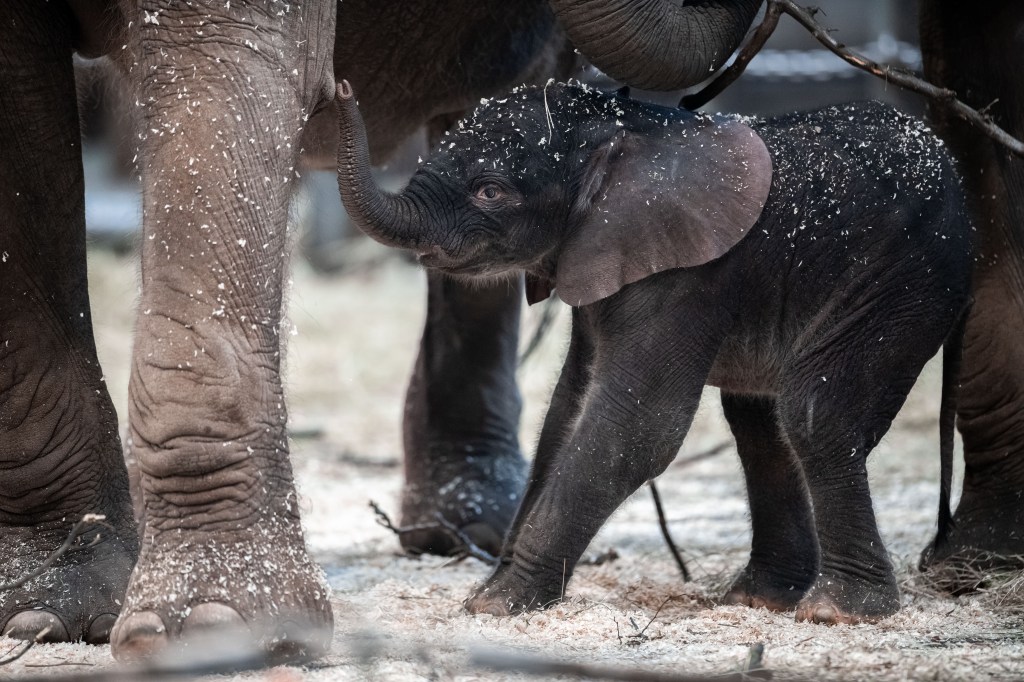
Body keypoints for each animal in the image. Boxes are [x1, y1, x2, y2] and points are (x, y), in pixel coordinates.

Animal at [333, 79, 966, 622]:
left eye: (491, 190)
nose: (339, 90)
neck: (625, 126)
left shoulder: (688, 274)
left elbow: (638, 425)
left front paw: (497, 605)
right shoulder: (598, 253)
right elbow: (568, 412)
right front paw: (488, 593)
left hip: (902, 281)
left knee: (815, 415)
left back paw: (837, 612)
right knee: (759, 425)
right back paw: (759, 600)